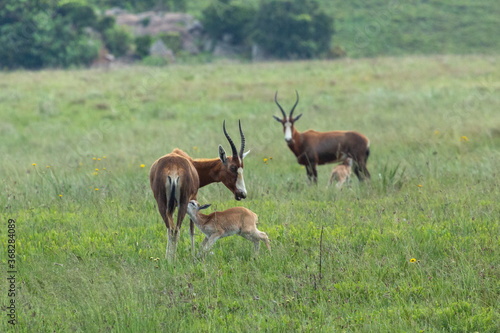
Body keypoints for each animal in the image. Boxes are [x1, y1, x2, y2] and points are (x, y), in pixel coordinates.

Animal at [148, 120, 250, 258]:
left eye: (242, 168)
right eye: (233, 168)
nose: (242, 193)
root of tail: (173, 168)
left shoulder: (172, 205)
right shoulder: (193, 197)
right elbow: (192, 229)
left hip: (162, 202)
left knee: (170, 229)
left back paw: (168, 259)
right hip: (183, 202)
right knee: (176, 229)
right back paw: (173, 260)